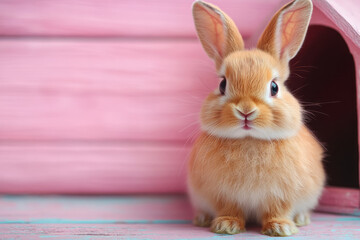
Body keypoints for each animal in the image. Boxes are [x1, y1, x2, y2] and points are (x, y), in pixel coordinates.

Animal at [188, 0, 326, 236]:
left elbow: (277, 210)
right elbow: (229, 208)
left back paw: (301, 219)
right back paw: (202, 219)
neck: (249, 140)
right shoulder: (223, 194)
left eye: (274, 87)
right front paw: (226, 225)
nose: (246, 110)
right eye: (222, 85)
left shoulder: (281, 194)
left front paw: (280, 228)